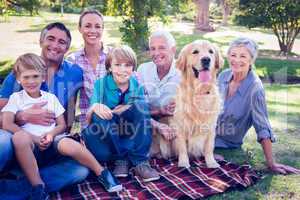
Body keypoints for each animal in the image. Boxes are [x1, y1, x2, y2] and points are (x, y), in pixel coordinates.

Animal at [151, 39, 224, 168]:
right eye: (195, 52)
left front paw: (211, 162)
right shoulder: (180, 127)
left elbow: (209, 147)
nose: (206, 59)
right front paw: (184, 163)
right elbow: (182, 148)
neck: (199, 92)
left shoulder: (210, 126)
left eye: (211, 52)